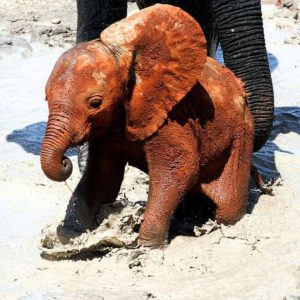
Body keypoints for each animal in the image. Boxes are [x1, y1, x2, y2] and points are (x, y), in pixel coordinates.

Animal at [40, 5, 253, 248]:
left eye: (95, 103)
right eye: (46, 98)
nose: (66, 162)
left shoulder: (168, 115)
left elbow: (179, 167)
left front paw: (147, 246)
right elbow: (102, 177)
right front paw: (71, 234)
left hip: (242, 131)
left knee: (227, 206)